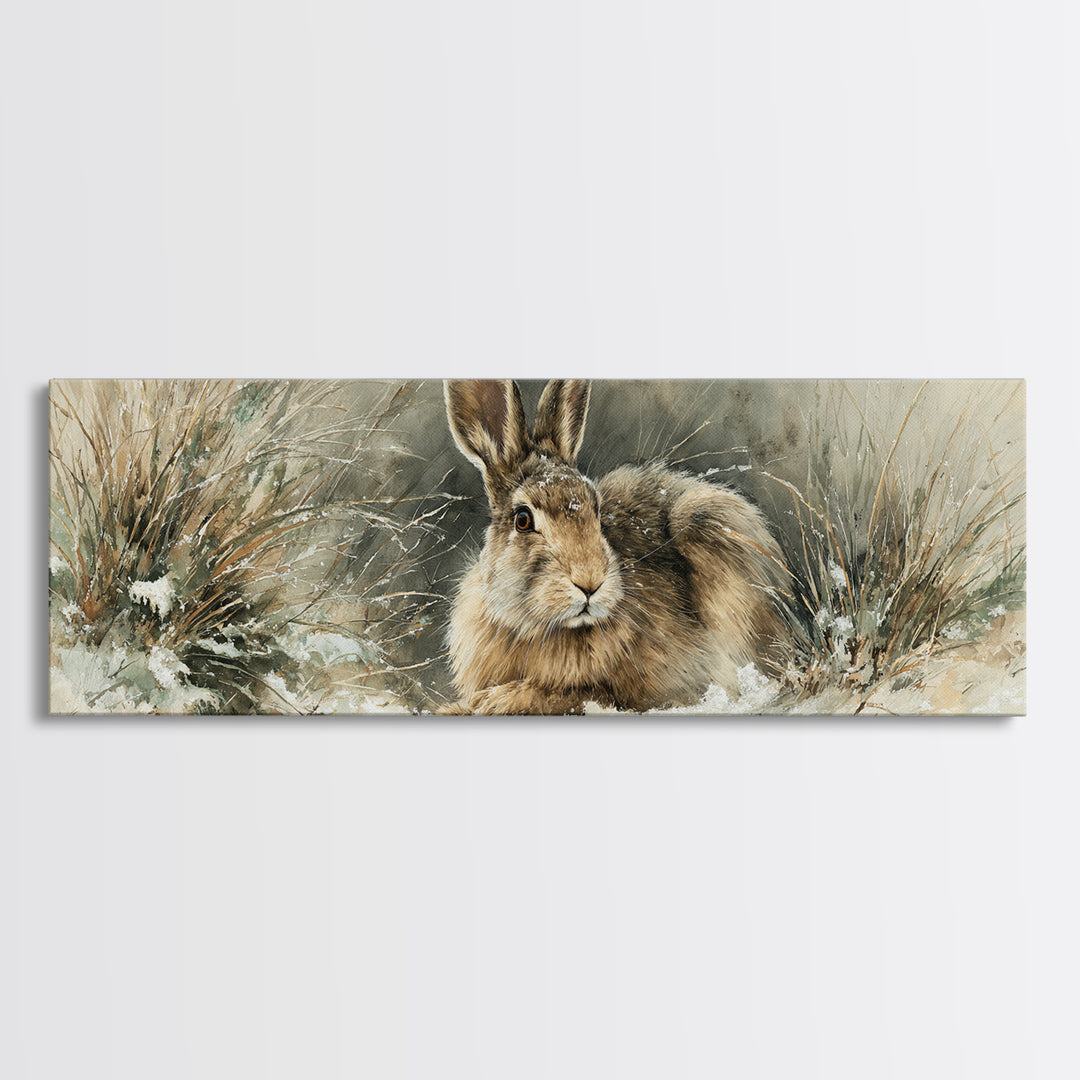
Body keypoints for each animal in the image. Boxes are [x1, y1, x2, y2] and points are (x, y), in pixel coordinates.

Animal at [441, 379, 788, 714]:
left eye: (597, 511)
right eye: (523, 519)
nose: (589, 583)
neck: (537, 626)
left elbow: (577, 695)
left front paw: (495, 701)